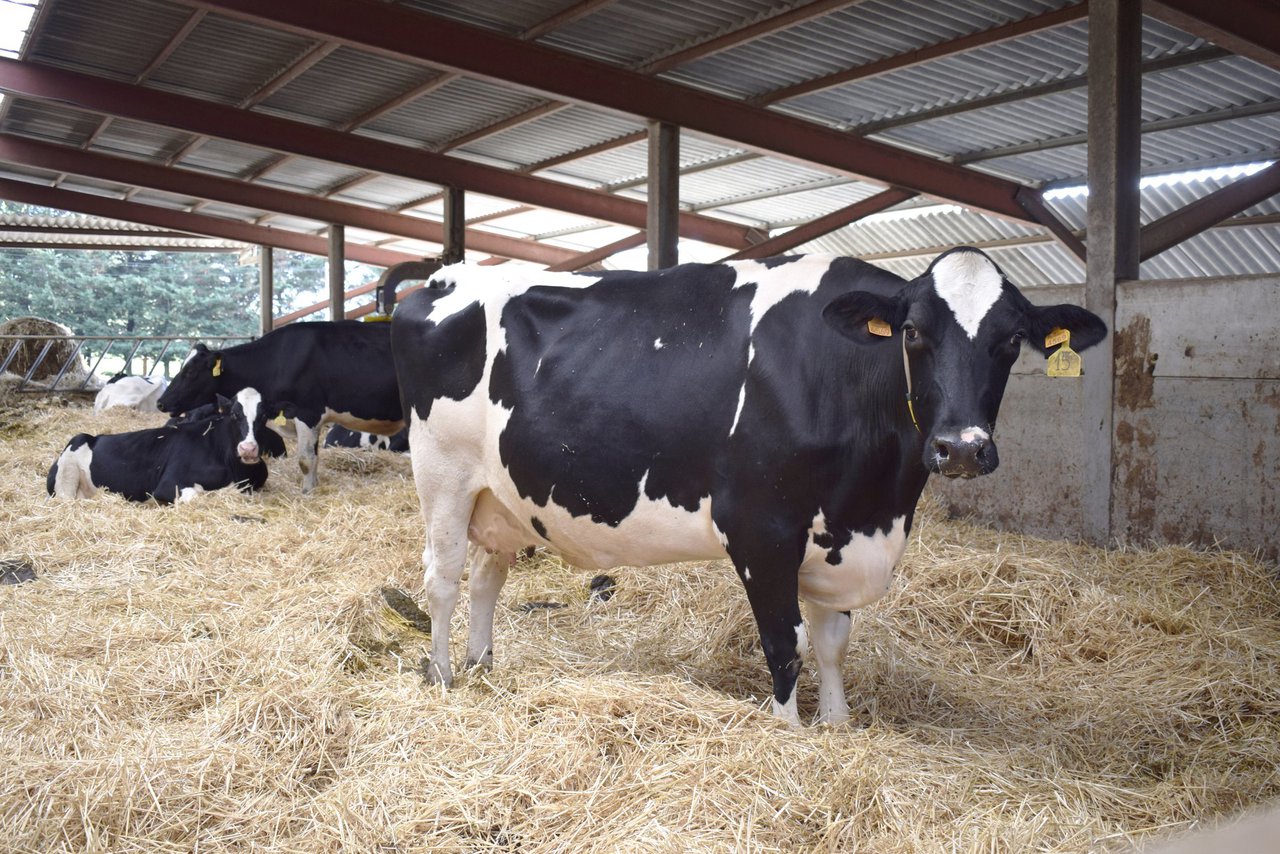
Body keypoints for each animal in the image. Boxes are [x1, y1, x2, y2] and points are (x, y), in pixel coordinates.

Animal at [48, 387, 286, 503]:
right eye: (235, 415)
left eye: (264, 416)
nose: (248, 449)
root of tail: (94, 437)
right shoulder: (167, 485)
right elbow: (199, 494)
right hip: (70, 466)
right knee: (67, 501)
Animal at [156, 321, 403, 493]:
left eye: (190, 372)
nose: (161, 402)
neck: (279, 360)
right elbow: (314, 458)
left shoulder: (307, 413)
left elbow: (305, 460)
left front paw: (307, 493)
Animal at [390, 249, 1106, 726]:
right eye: (912, 332)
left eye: (1011, 341)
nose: (961, 447)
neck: (878, 502)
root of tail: (445, 275)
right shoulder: (761, 529)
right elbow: (785, 643)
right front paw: (789, 732)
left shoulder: (836, 532)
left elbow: (832, 641)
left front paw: (838, 726)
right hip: (443, 477)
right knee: (443, 579)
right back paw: (444, 676)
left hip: (502, 498)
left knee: (487, 578)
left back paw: (484, 667)